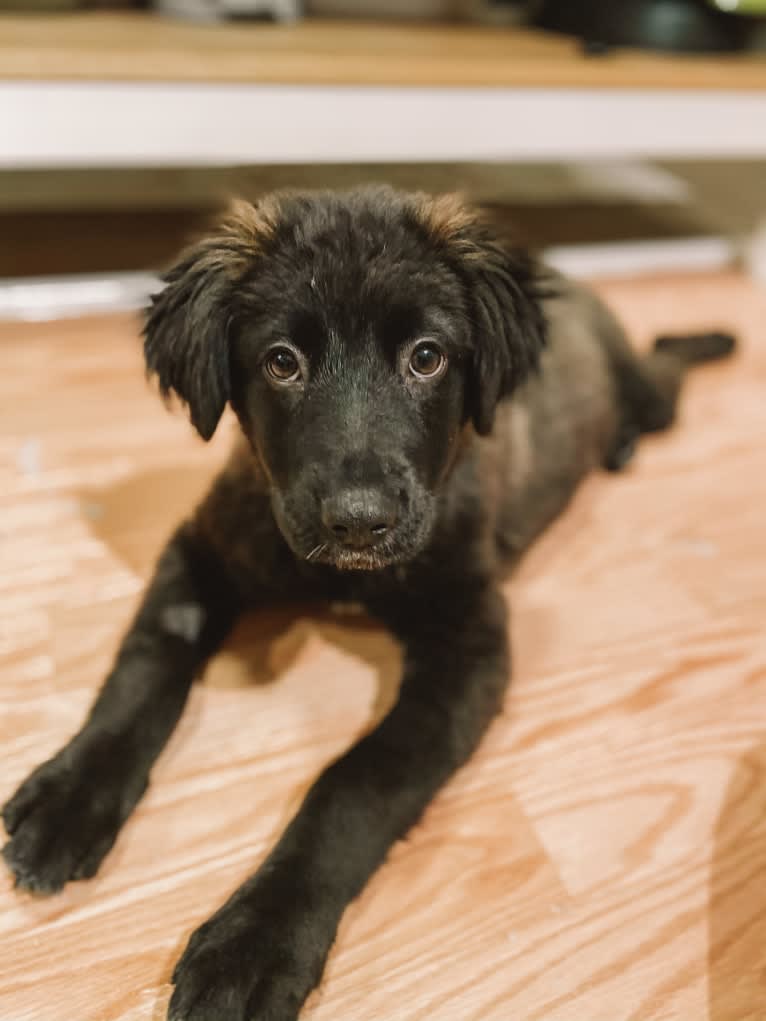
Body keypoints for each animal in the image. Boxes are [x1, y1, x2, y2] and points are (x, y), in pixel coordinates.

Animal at [1, 187, 739, 1016]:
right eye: (281, 362)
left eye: (427, 356)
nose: (358, 520)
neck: (346, 577)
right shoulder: (200, 551)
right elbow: (144, 665)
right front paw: (70, 796)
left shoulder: (468, 648)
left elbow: (354, 782)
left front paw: (256, 941)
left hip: (644, 391)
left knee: (662, 371)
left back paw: (688, 361)